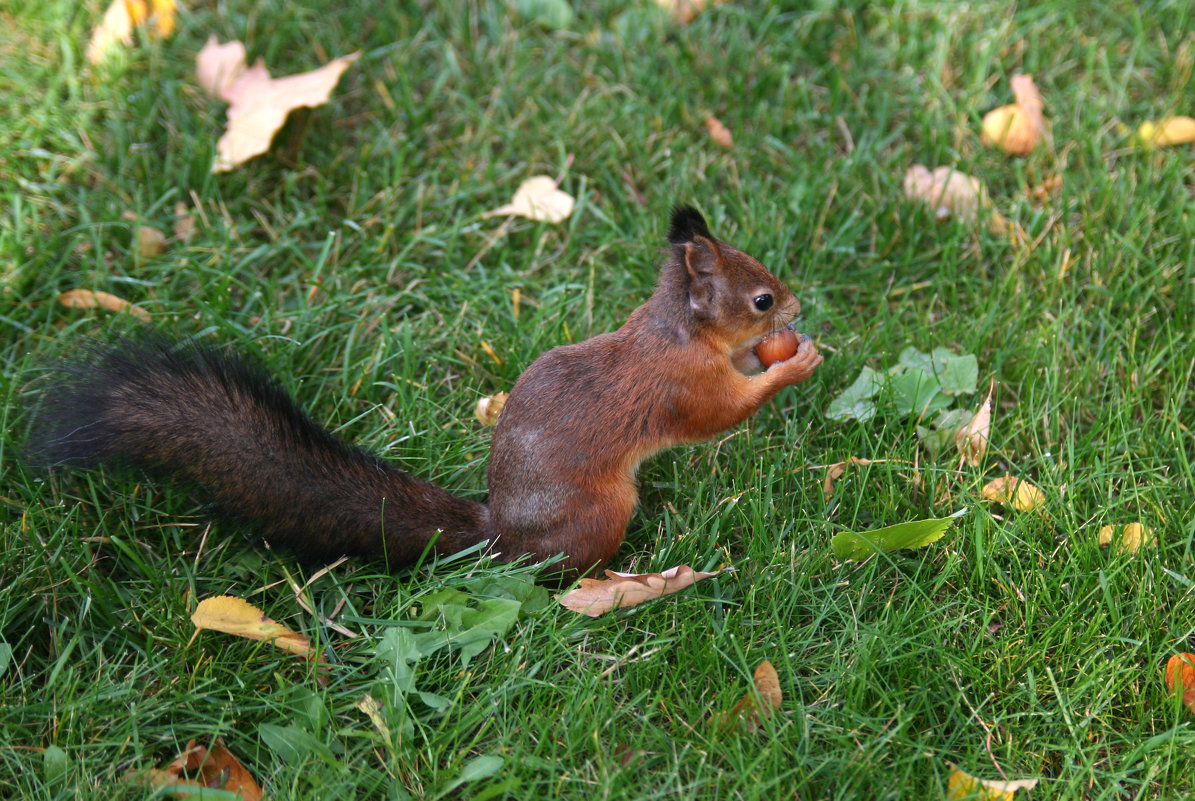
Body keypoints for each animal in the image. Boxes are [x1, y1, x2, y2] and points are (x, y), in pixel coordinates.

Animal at [28, 206, 822, 581]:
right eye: (758, 298)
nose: (794, 304)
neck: (676, 330)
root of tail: (502, 534)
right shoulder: (680, 387)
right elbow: (723, 412)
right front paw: (793, 362)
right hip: (601, 510)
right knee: (568, 573)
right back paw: (625, 576)